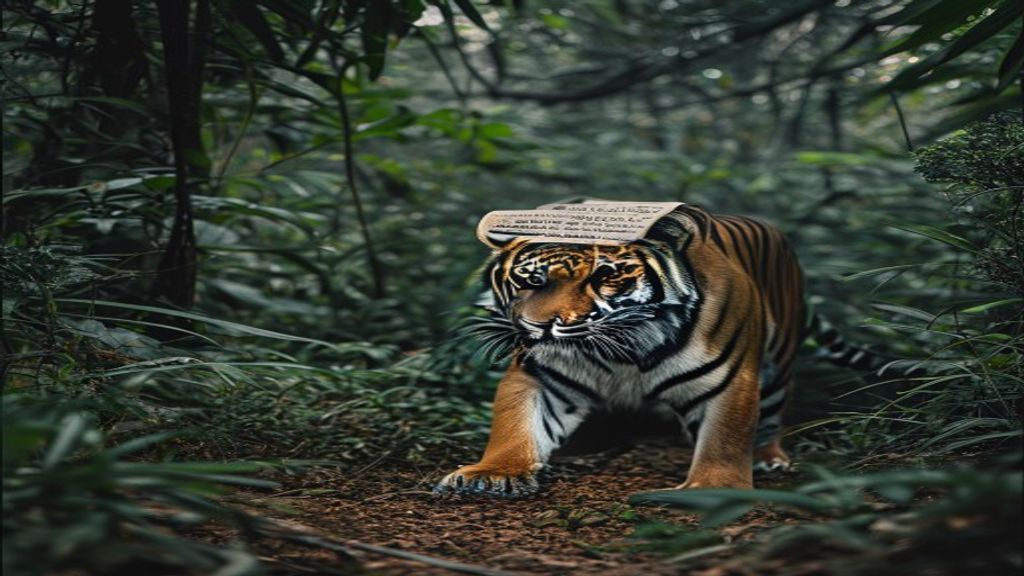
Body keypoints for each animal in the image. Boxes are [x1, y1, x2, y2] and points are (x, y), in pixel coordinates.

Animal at [435, 202, 862, 497]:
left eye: (604, 276)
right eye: (531, 280)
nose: (540, 327)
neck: (622, 348)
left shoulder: (730, 382)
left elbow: (725, 438)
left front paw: (714, 490)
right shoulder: (540, 376)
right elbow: (515, 424)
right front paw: (494, 473)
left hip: (778, 364)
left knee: (773, 411)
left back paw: (769, 458)